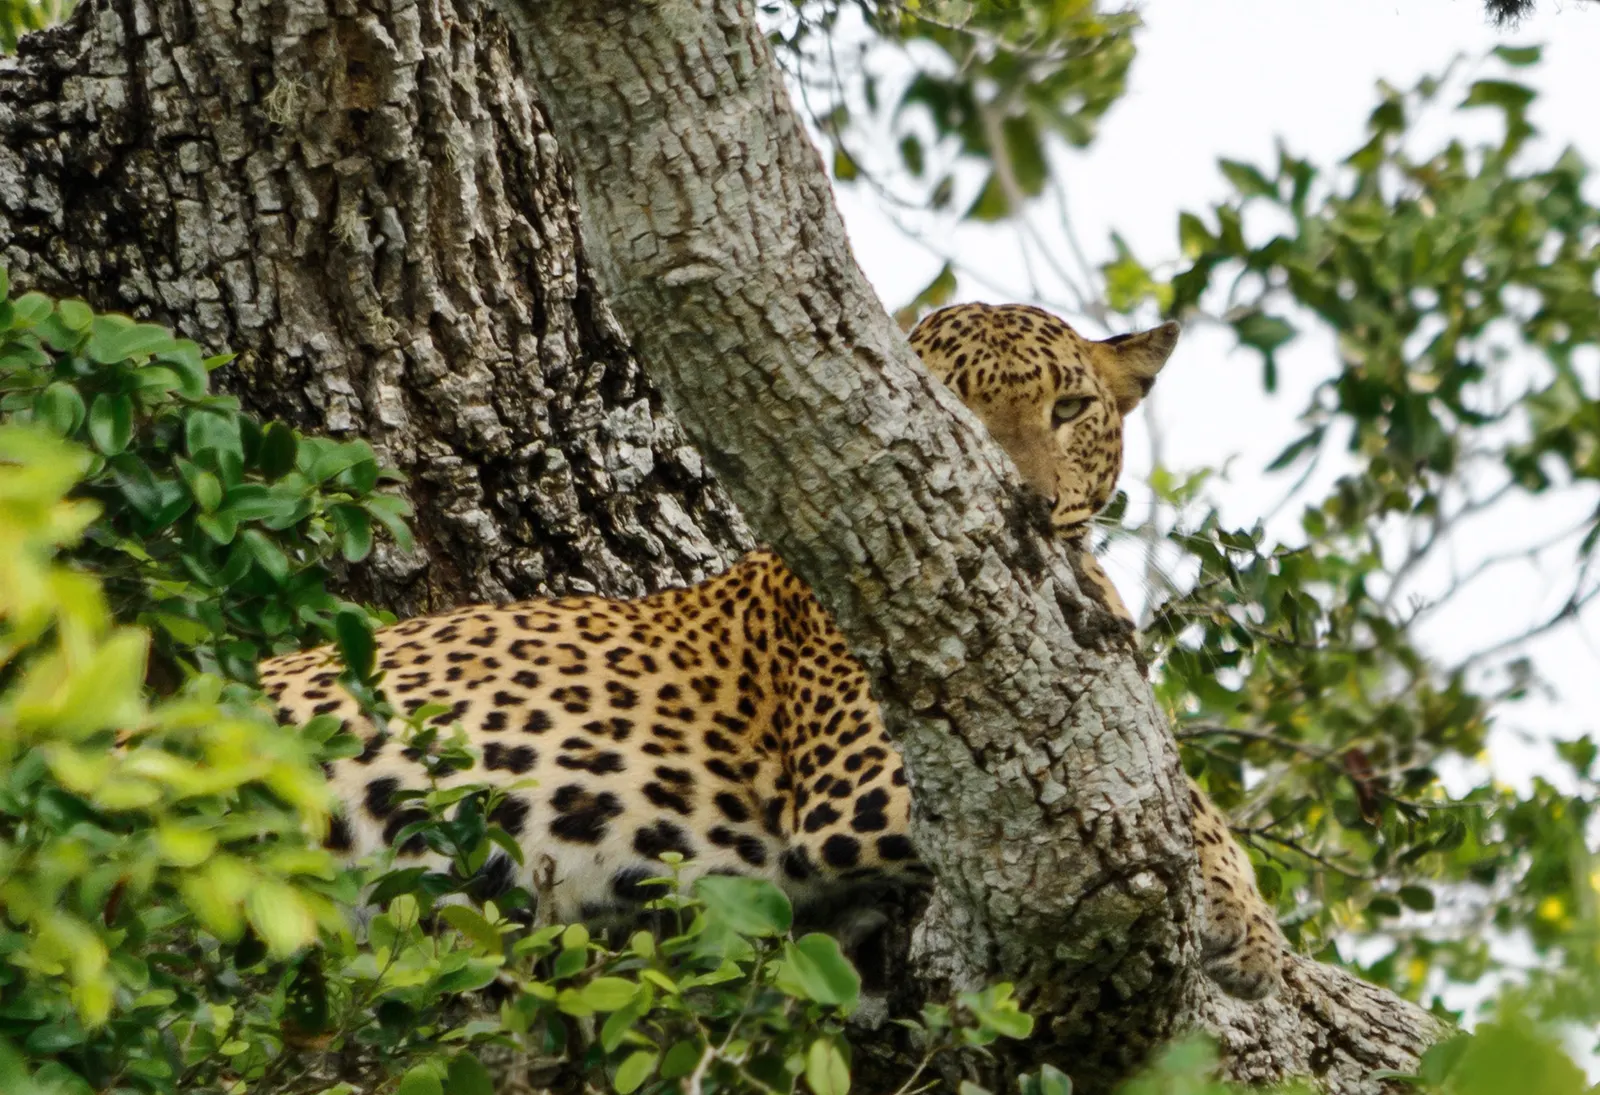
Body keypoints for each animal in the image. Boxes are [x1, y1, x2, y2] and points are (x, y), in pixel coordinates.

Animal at [260, 302, 1288, 1001]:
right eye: (944, 405)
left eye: (1071, 408)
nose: (1031, 505)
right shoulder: (867, 780)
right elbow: (1175, 794)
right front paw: (1245, 917)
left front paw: (1256, 926)